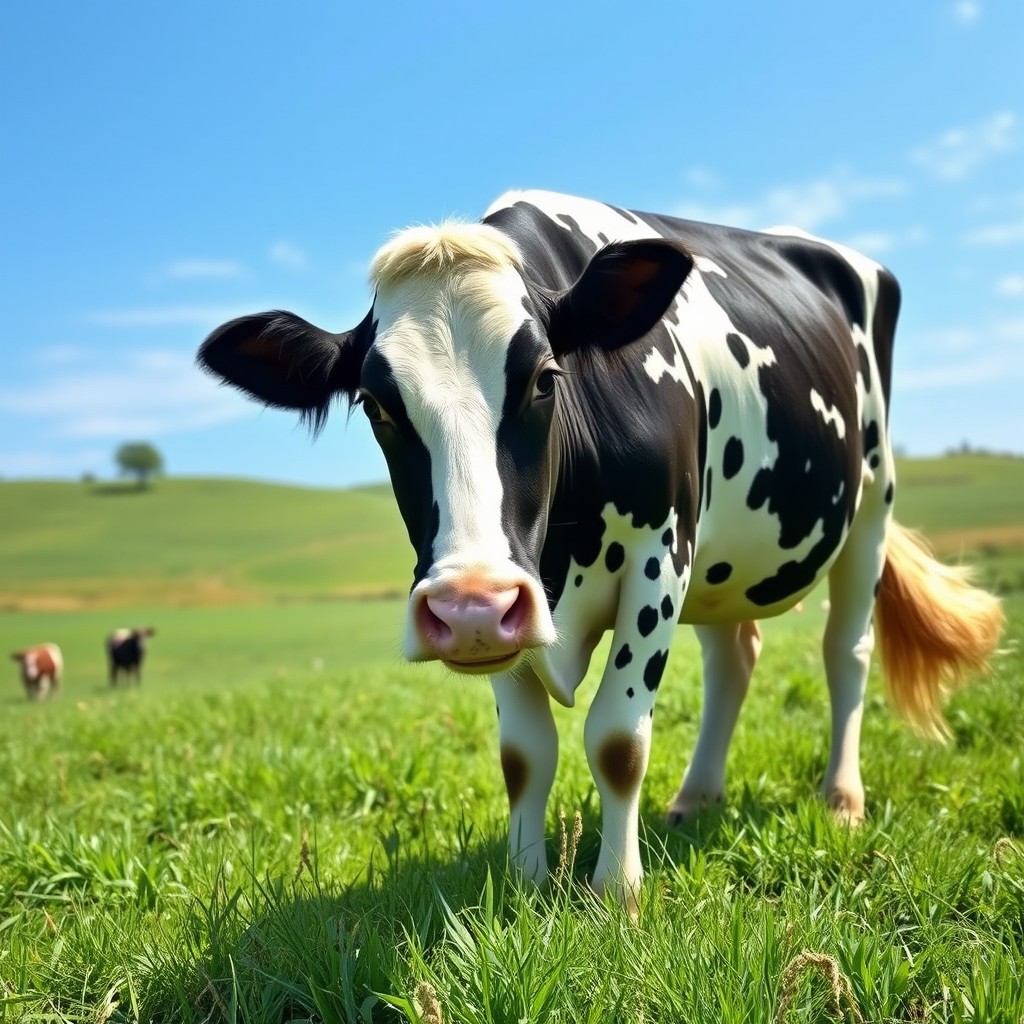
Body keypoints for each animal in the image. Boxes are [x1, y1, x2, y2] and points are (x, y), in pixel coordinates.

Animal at [197, 189, 1003, 911]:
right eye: (376, 405)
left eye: (544, 379)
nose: (468, 606)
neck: (560, 557)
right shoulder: (519, 614)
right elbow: (524, 754)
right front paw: (526, 881)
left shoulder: (659, 553)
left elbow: (617, 737)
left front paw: (617, 890)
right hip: (722, 555)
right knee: (734, 657)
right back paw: (695, 798)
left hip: (869, 501)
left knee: (846, 652)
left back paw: (841, 798)